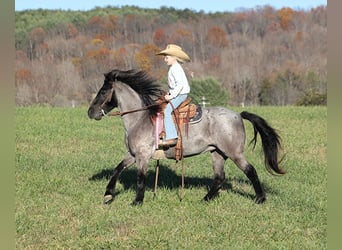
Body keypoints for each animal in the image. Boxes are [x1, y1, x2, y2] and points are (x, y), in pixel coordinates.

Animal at [88, 69, 286, 206]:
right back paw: (205, 199)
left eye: (103, 91)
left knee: (250, 170)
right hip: (217, 153)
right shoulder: (133, 154)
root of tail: (238, 114)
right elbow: (118, 169)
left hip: (234, 153)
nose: (90, 112)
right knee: (219, 177)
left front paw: (137, 201)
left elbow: (140, 178)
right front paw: (108, 194)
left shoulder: (142, 156)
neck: (140, 119)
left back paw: (260, 198)